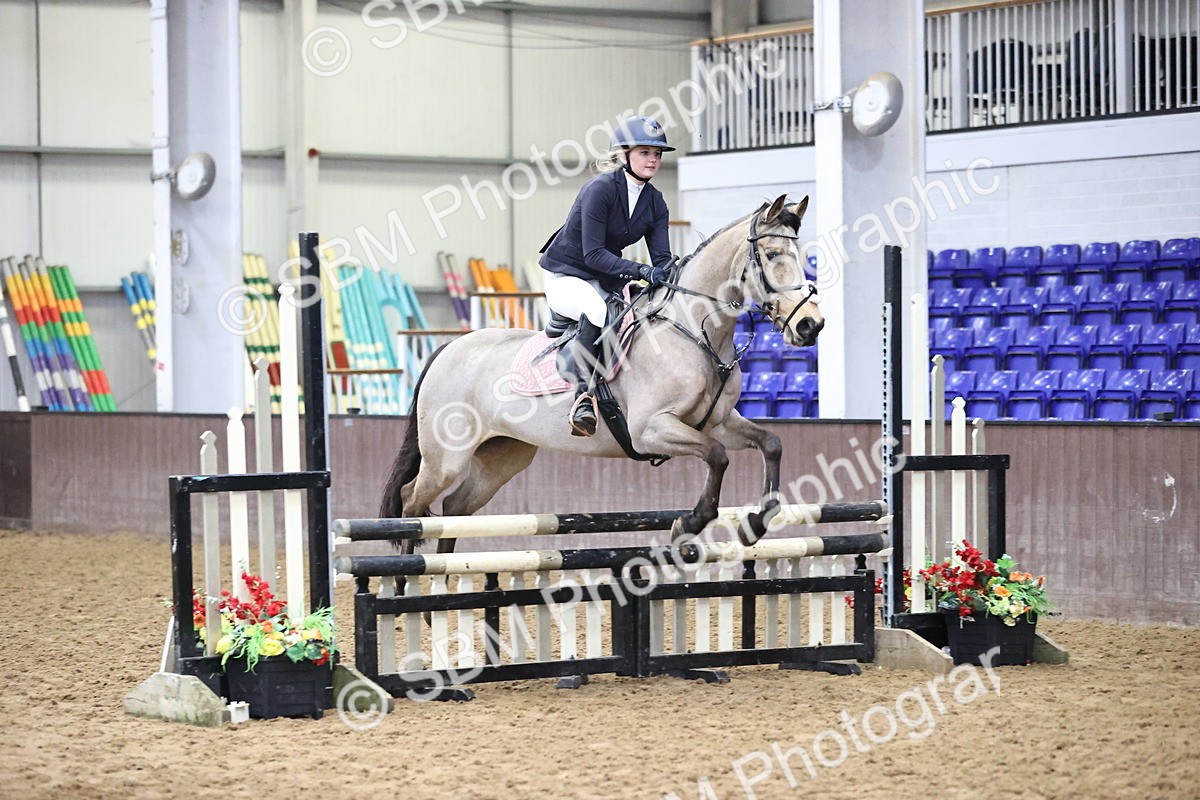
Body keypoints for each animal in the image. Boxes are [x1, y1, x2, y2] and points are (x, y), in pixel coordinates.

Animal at [378, 193, 823, 553]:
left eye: (802, 259)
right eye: (772, 256)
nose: (810, 326)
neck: (694, 330)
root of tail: (448, 348)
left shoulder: (717, 422)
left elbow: (770, 443)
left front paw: (755, 524)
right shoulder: (651, 429)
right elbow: (716, 455)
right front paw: (689, 523)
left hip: (502, 457)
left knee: (454, 508)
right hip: (445, 458)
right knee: (413, 502)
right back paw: (406, 582)